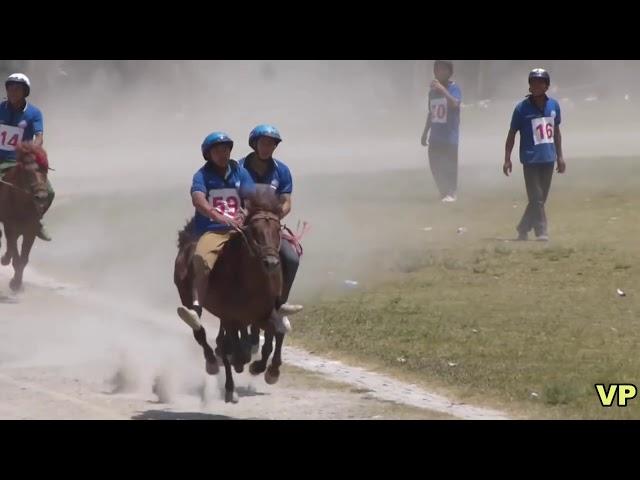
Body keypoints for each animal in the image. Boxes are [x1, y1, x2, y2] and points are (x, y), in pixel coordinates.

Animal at [0, 142, 50, 292]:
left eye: (45, 170)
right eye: (27, 172)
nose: (42, 197)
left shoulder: (30, 230)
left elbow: (23, 259)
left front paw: (17, 282)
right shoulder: (10, 226)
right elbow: (16, 257)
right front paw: (15, 283)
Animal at [174, 189, 286, 404]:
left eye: (278, 229)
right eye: (254, 230)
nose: (271, 262)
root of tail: (187, 240)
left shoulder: (263, 314)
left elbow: (278, 332)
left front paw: (270, 371)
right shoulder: (232, 317)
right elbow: (233, 348)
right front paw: (239, 368)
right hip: (189, 297)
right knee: (201, 332)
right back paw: (214, 365)